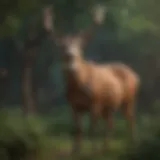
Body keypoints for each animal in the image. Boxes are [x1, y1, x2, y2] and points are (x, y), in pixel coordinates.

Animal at [42, 5, 140, 154]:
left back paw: (132, 143)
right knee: (110, 123)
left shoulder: (95, 101)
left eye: (79, 47)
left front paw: (93, 150)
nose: (70, 54)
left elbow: (92, 129)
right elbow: (77, 129)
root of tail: (136, 75)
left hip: (129, 98)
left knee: (130, 118)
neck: (78, 86)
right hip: (108, 105)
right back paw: (106, 147)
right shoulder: (73, 105)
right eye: (62, 47)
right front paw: (75, 150)